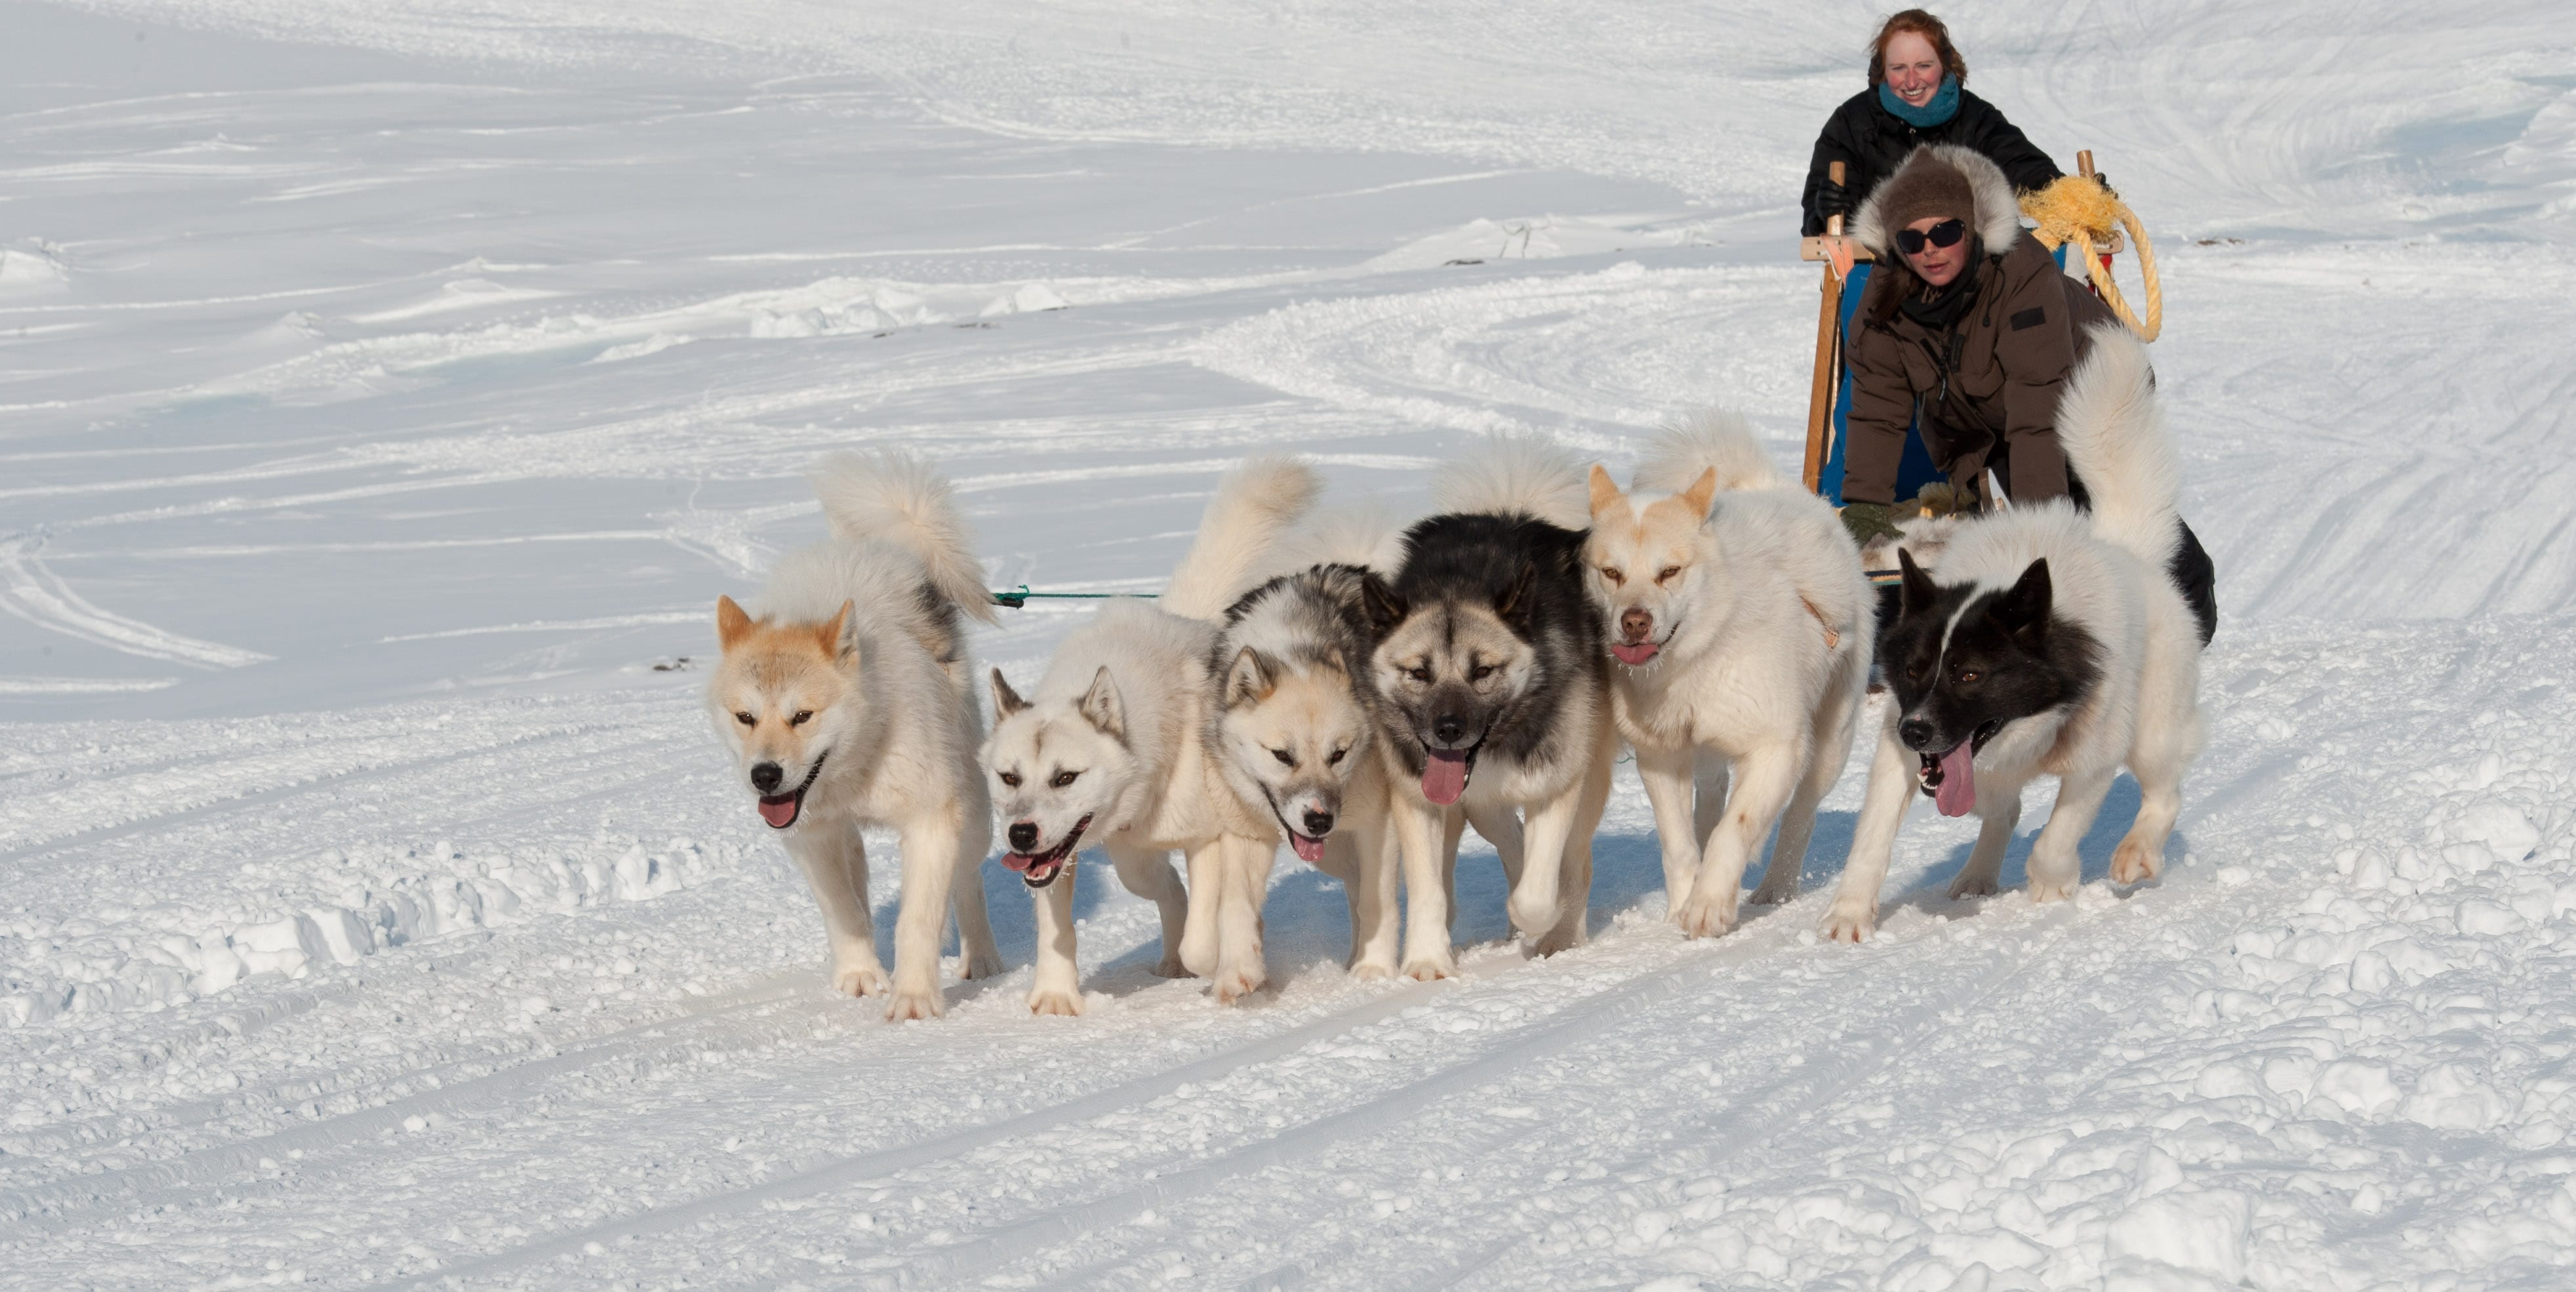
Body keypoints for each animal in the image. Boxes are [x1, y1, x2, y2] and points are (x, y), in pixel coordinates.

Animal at [721, 453, 1020, 1019]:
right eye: (745, 717)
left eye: (803, 716)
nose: (764, 776)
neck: (862, 757)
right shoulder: (813, 836)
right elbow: (844, 911)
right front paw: (860, 975)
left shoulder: (931, 823)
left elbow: (918, 921)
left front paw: (915, 998)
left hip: (971, 814)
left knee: (967, 884)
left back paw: (982, 958)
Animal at [973, 458, 1319, 1014]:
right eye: (1009, 777)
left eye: (1065, 777)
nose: (1020, 834)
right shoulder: (1058, 858)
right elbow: (1056, 929)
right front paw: (1055, 995)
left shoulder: (1214, 839)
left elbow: (1208, 931)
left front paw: (1221, 961)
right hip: (1132, 859)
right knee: (1169, 889)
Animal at [1566, 414, 1875, 937]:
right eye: (1611, 573)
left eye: (1670, 571)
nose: (1634, 622)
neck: (1696, 659)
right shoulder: (1661, 753)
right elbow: (1679, 843)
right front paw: (1683, 902)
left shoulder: (1775, 746)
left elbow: (1737, 828)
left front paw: (1709, 903)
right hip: (1708, 751)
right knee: (1710, 799)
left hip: (1832, 741)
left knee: (1801, 814)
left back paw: (1775, 887)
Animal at [1824, 325, 2205, 937]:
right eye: (1914, 670)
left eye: (1971, 674)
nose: (1916, 731)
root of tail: (2127, 551)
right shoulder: (1898, 758)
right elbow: (1872, 839)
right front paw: (1849, 914)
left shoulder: (2093, 759)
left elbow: (2057, 836)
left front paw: (2053, 884)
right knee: (2003, 809)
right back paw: (1977, 874)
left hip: (2154, 730)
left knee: (2164, 792)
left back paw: (2137, 853)